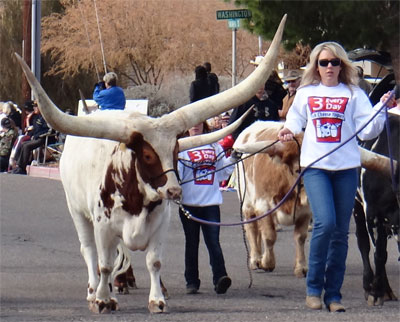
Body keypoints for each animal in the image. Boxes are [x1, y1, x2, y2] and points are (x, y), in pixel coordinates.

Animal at [14, 15, 288, 314]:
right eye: (146, 155)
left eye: (176, 150)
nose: (174, 191)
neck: (138, 198)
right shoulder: (103, 226)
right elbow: (104, 263)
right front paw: (103, 299)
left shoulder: (160, 223)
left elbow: (153, 261)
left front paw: (157, 299)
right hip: (76, 211)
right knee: (88, 251)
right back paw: (94, 289)